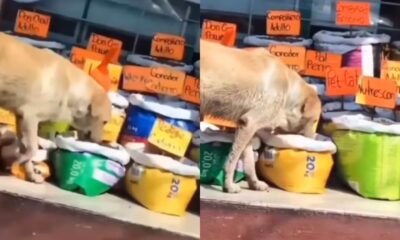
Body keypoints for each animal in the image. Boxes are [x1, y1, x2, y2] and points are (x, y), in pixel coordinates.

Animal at [0, 32, 111, 182]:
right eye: (104, 122)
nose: (100, 142)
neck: (71, 88)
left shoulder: (21, 118)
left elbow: (26, 150)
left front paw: (31, 173)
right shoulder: (30, 117)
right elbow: (33, 149)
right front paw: (16, 161)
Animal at [200, 39, 322, 193]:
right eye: (315, 120)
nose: (314, 141)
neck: (288, 90)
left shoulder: (246, 126)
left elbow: (249, 161)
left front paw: (254, 183)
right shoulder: (250, 123)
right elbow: (233, 159)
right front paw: (228, 186)